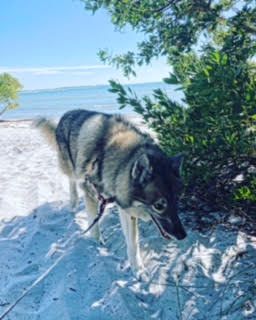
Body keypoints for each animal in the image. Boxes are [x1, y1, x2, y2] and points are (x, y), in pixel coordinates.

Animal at [36, 109, 186, 276]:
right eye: (159, 206)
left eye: (177, 199)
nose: (182, 235)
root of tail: (66, 113)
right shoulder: (91, 193)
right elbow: (94, 226)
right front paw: (97, 244)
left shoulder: (125, 207)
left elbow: (133, 242)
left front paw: (137, 269)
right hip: (70, 166)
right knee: (71, 180)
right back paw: (73, 202)